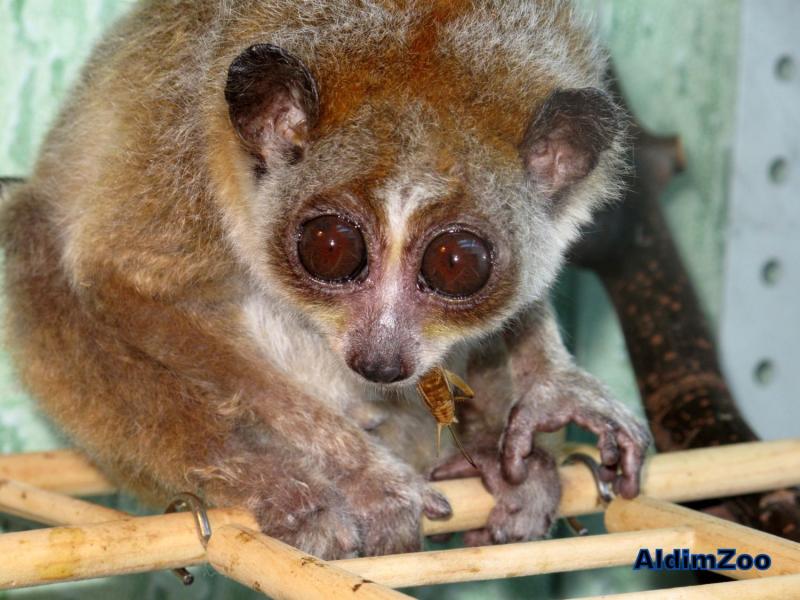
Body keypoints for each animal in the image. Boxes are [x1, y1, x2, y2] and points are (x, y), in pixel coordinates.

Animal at [0, 0, 651, 558]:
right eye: (331, 249)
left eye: (456, 264)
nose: (380, 361)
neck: (425, 44)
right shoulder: (184, 150)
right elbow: (123, 282)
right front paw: (362, 475)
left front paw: (556, 391)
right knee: (35, 247)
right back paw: (285, 488)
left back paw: (495, 460)